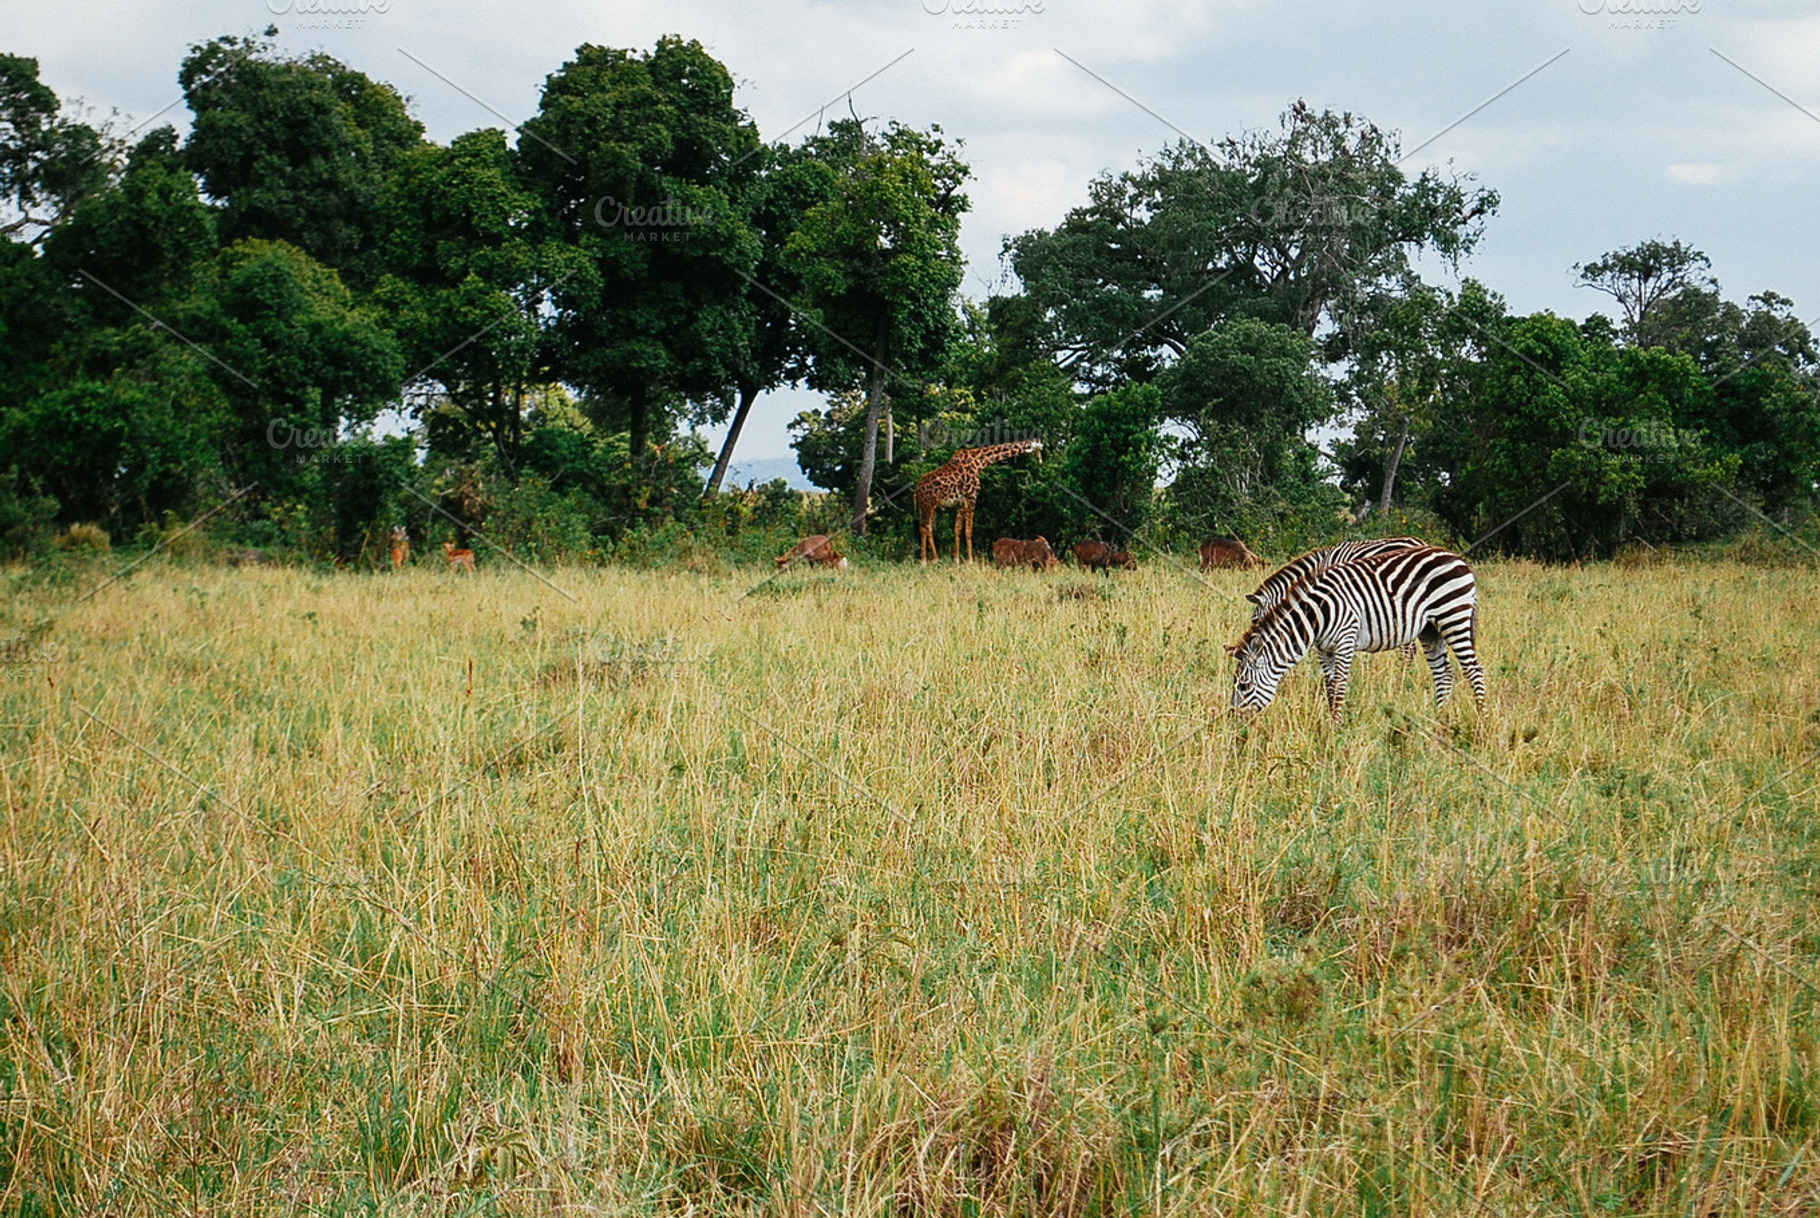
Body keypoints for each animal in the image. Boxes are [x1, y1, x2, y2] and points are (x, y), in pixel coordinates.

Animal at [915, 440, 1043, 563]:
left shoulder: (960, 503)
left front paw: (956, 560)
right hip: (928, 505)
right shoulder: (972, 498)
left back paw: (934, 559)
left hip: (926, 506)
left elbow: (957, 530)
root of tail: (916, 490)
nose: (1040, 462)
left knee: (927, 528)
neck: (979, 463)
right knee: (924, 528)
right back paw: (926, 561)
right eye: (1038, 450)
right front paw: (970, 560)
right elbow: (969, 531)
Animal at [1226, 546, 1485, 721]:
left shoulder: (1346, 641)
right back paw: (1439, 719)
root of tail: (1455, 557)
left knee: (1474, 670)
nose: (1234, 721)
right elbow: (1330, 685)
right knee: (1444, 674)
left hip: (1453, 616)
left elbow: (1340, 685)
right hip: (1431, 629)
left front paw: (1335, 728)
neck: (1317, 614)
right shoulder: (1324, 648)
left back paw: (1480, 721)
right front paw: (1329, 723)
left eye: (1244, 686)